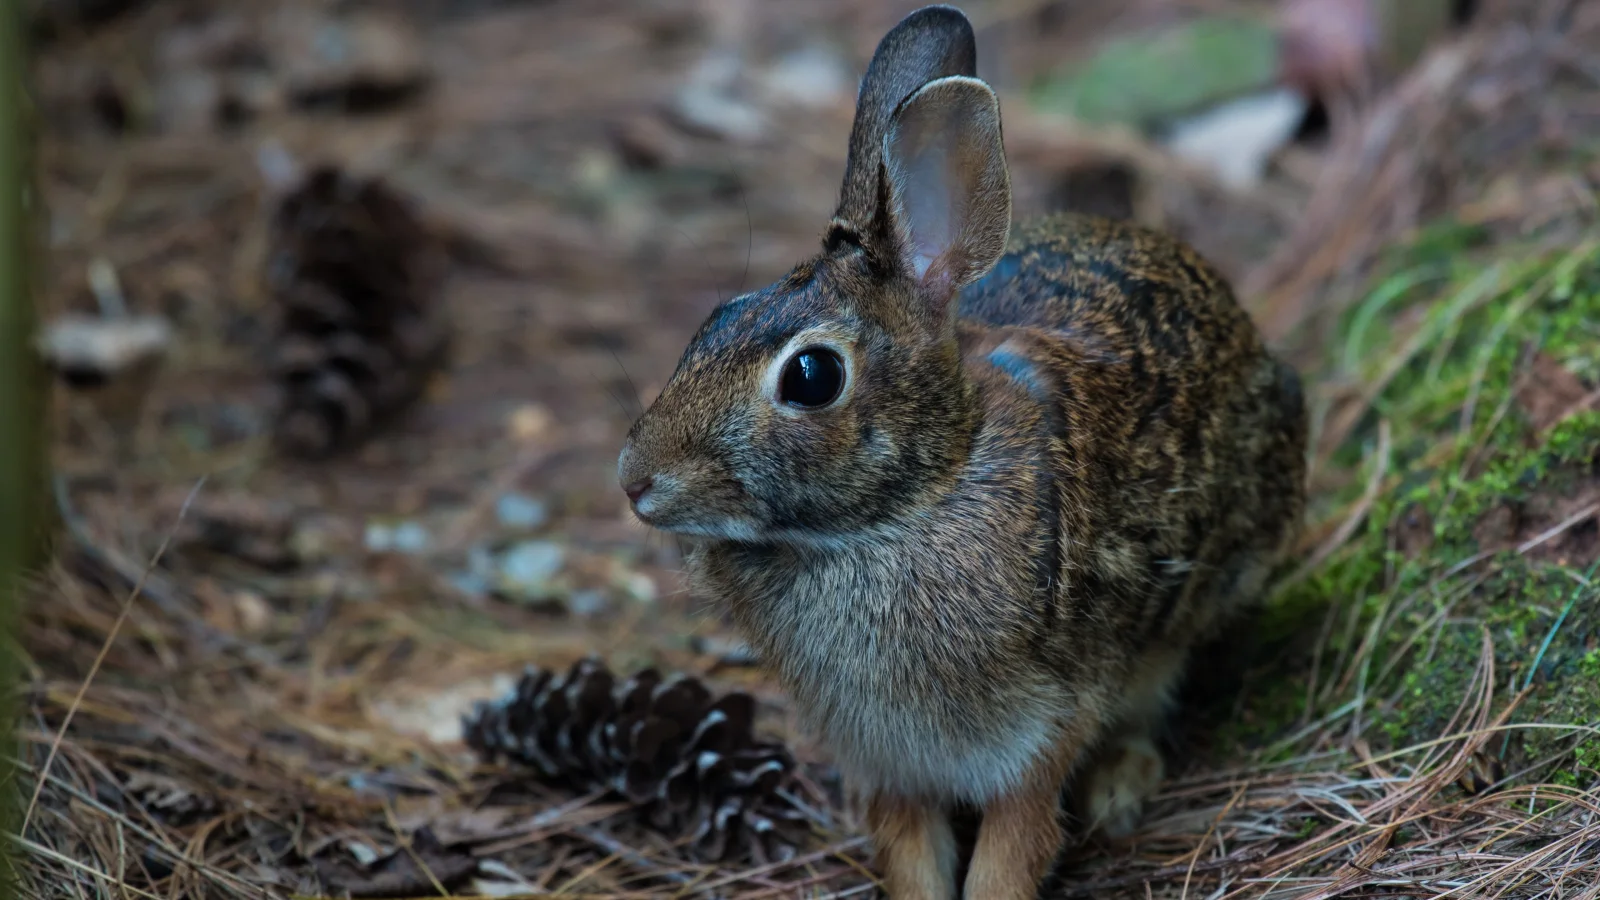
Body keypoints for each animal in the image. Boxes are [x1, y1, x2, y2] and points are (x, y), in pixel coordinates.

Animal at [616, 5, 1308, 898]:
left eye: (811, 376)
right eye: (717, 315)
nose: (635, 480)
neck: (907, 506)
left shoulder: (1040, 731)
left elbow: (1010, 853)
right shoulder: (887, 762)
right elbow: (911, 855)